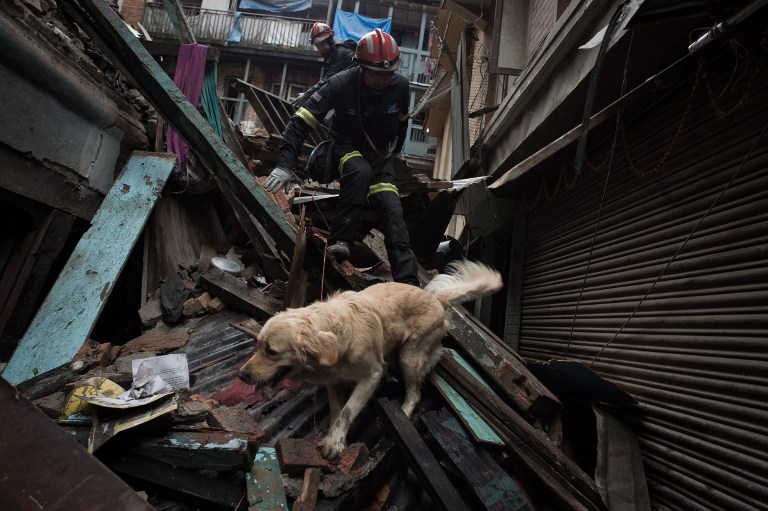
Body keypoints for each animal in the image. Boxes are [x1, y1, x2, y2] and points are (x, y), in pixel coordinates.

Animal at [240, 260, 504, 460]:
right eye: (258, 345)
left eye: (271, 351)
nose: (242, 375)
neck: (336, 336)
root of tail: (437, 299)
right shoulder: (333, 381)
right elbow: (337, 410)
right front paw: (333, 435)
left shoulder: (371, 375)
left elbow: (347, 411)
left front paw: (334, 443)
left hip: (409, 355)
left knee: (415, 392)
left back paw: (403, 413)